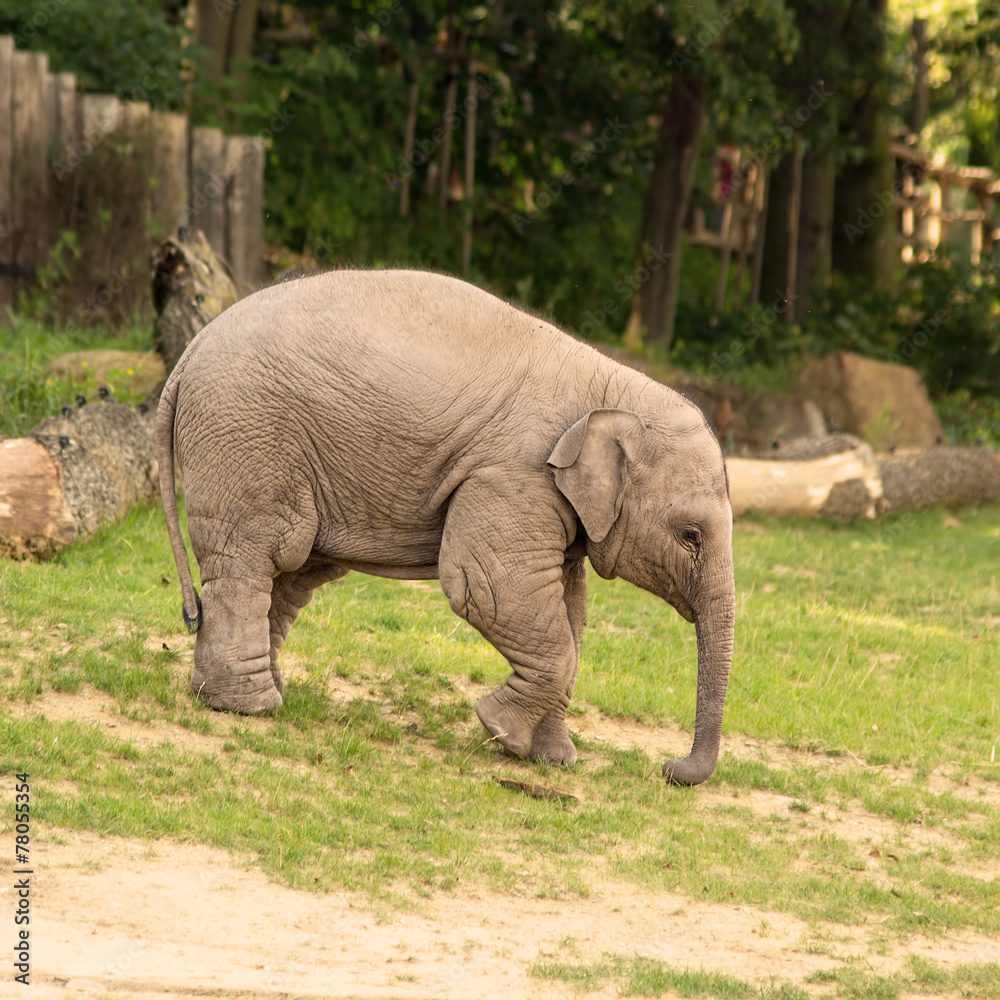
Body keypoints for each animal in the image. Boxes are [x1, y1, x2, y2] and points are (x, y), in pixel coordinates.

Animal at [155, 269, 735, 785]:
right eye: (690, 535)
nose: (669, 769)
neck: (614, 386)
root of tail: (187, 354)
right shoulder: (514, 475)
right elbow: (490, 589)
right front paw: (500, 731)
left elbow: (570, 611)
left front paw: (550, 759)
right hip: (248, 439)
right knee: (259, 557)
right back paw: (249, 708)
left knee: (295, 574)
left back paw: (257, 695)